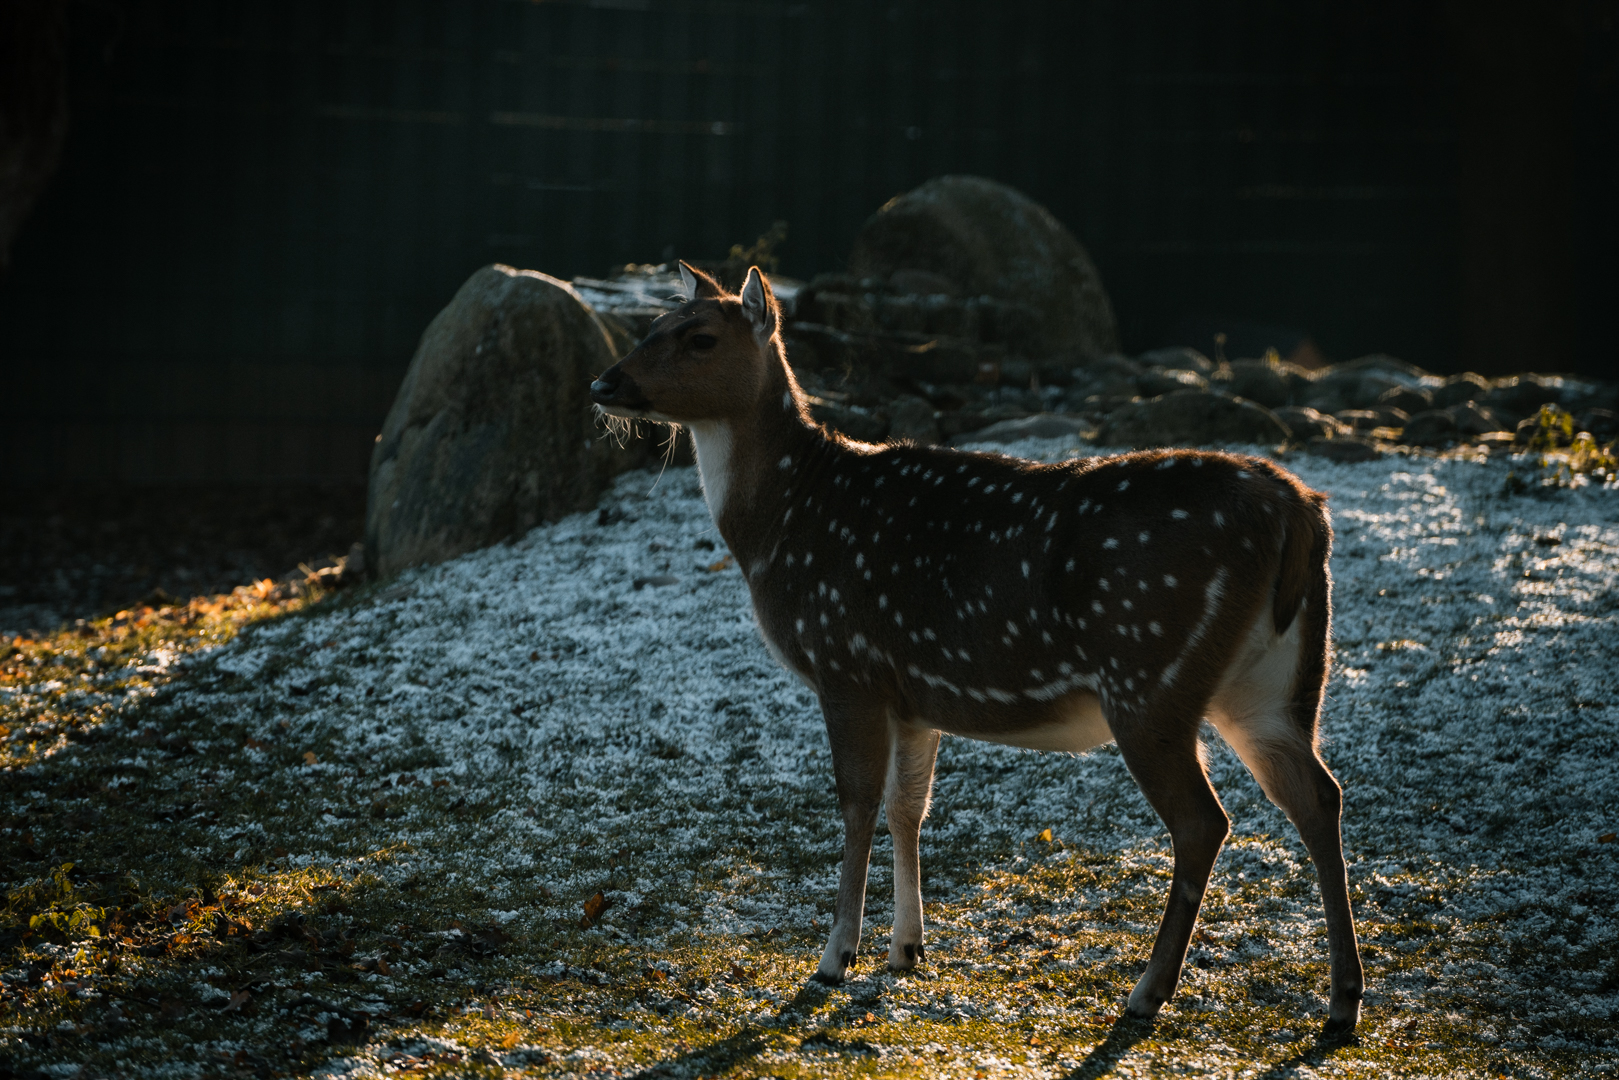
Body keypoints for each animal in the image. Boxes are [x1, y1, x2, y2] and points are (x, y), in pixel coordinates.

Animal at [588, 262, 1364, 1035]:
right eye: (651, 326)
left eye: (699, 337)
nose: (602, 382)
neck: (782, 522)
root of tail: (1299, 511)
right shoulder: (913, 696)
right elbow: (908, 806)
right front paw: (906, 948)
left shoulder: (846, 661)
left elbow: (856, 802)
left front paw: (834, 957)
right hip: (1273, 683)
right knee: (1318, 795)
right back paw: (1341, 1001)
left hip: (1148, 673)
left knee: (1205, 821)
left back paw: (1148, 991)